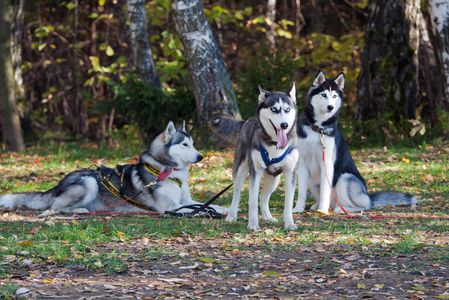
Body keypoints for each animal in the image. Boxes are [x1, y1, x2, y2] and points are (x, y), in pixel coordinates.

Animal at [0, 120, 228, 214]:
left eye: (193, 144)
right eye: (184, 144)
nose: (201, 156)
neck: (167, 171)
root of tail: (59, 183)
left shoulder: (186, 200)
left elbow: (208, 205)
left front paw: (227, 210)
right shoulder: (170, 207)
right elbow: (193, 209)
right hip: (89, 182)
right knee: (54, 207)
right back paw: (80, 210)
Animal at [209, 84, 298, 230]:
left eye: (287, 109)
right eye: (274, 109)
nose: (284, 125)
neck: (274, 144)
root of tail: (247, 121)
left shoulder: (290, 172)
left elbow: (288, 204)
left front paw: (289, 223)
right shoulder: (255, 172)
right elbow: (252, 202)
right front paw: (253, 224)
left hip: (274, 179)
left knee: (263, 197)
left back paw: (268, 218)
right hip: (240, 172)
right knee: (237, 194)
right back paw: (231, 216)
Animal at [290, 71, 416, 214]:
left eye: (334, 96)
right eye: (323, 95)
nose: (330, 107)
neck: (318, 129)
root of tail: (369, 197)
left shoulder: (327, 163)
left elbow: (325, 192)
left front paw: (322, 210)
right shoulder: (302, 164)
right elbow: (301, 192)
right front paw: (298, 208)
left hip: (345, 178)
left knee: (363, 206)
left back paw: (342, 209)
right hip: (315, 183)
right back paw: (319, 205)